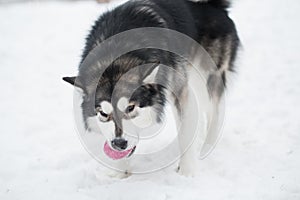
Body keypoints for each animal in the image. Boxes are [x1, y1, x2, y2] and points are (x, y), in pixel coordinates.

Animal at [62, 0, 239, 177]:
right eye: (103, 114)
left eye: (130, 108)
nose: (119, 143)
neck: (116, 58)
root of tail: (215, 7)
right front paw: (120, 172)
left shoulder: (180, 93)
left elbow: (185, 134)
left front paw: (187, 172)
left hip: (204, 77)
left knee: (215, 110)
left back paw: (207, 148)